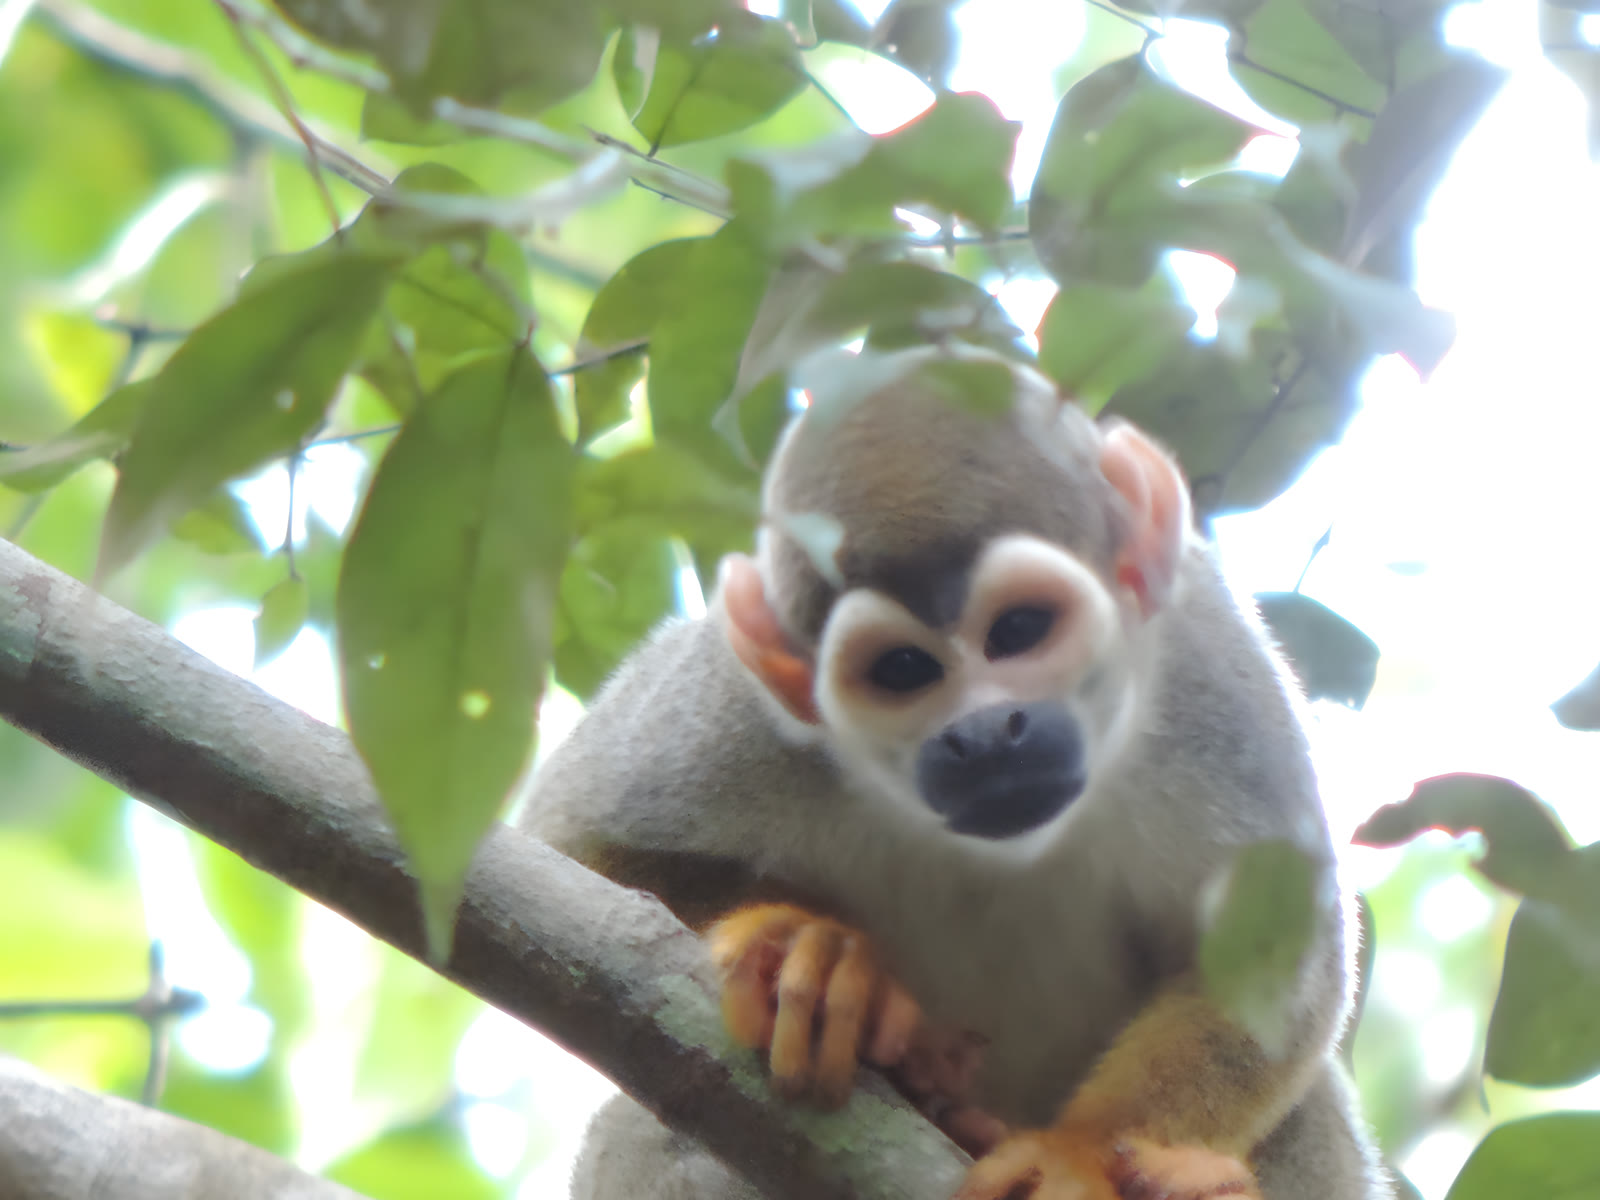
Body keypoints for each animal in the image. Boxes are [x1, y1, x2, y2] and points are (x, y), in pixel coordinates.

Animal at [521, 343, 1392, 1200]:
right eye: (903, 670)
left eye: (1020, 630)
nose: (984, 735)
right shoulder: (739, 712)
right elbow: (568, 852)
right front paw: (815, 953)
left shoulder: (1214, 679)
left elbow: (1279, 965)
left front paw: (1079, 1152)